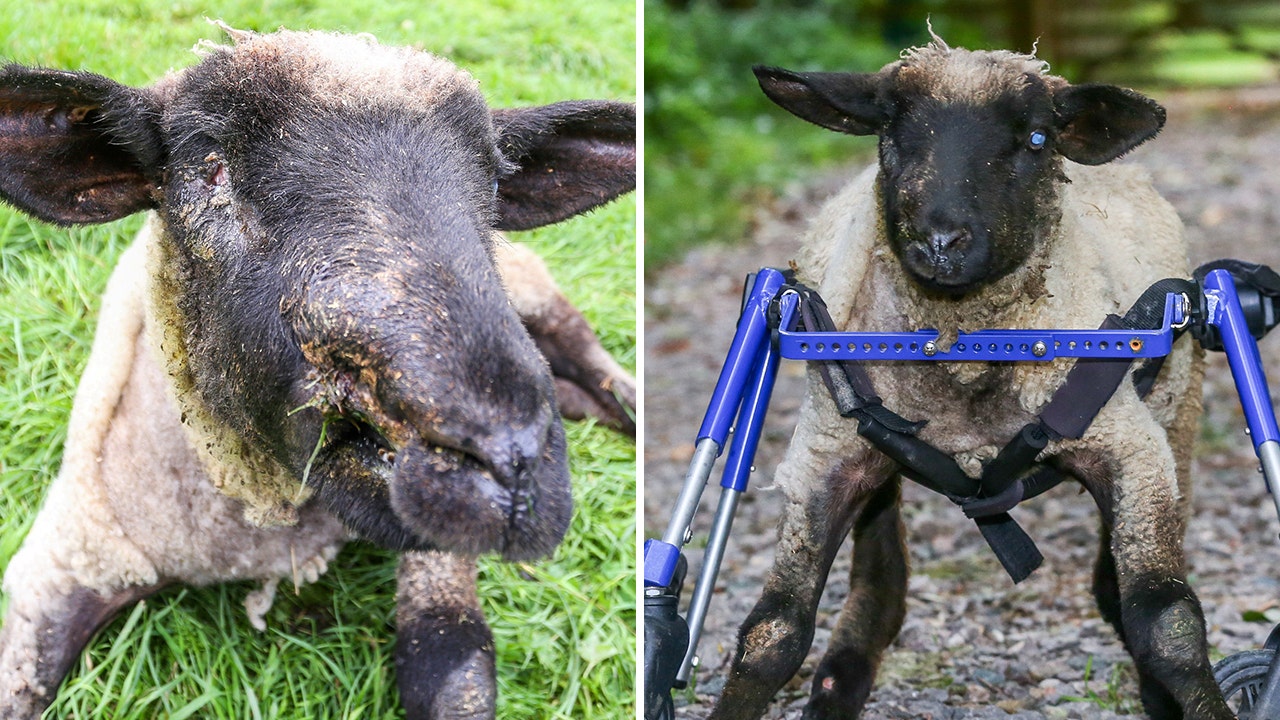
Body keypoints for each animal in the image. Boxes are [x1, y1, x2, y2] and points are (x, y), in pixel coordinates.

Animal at [711, 40, 1228, 717]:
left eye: (1036, 137)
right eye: (890, 133)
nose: (941, 241)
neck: (964, 349)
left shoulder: (1130, 448)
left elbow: (1167, 622)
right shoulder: (824, 457)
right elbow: (772, 632)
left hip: (1176, 413)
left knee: (1113, 584)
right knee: (882, 578)